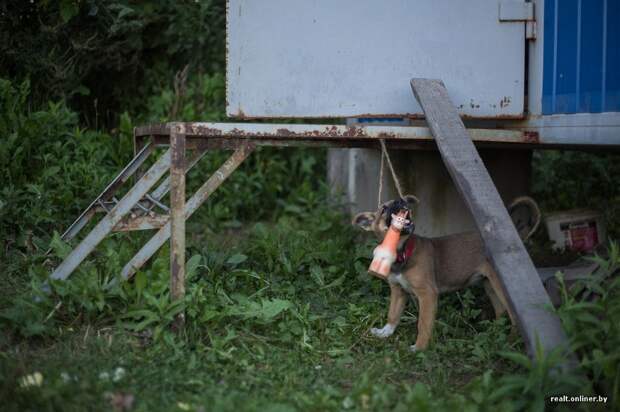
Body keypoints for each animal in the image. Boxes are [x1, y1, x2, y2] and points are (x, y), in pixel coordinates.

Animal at [354, 196, 536, 350]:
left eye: (403, 199)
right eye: (383, 209)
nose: (400, 201)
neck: (402, 252)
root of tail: (518, 237)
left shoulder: (427, 294)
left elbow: (423, 324)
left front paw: (419, 348)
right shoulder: (398, 291)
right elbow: (393, 315)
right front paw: (384, 333)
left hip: (502, 287)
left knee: (514, 317)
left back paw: (510, 343)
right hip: (489, 284)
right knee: (501, 312)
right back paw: (495, 335)